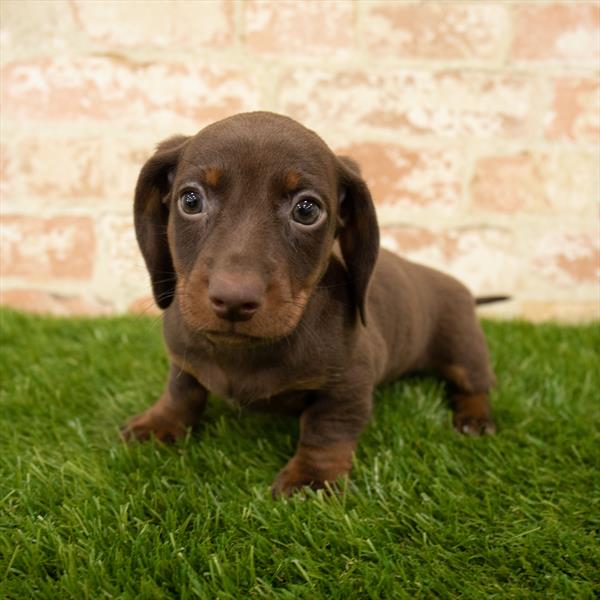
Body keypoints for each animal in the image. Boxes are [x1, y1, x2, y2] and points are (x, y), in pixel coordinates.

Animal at [120, 110, 496, 494]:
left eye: (306, 210)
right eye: (191, 200)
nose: (233, 300)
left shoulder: (349, 384)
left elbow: (326, 429)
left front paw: (312, 477)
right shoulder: (183, 358)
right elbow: (181, 391)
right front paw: (160, 422)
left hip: (464, 347)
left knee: (477, 384)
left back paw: (475, 417)